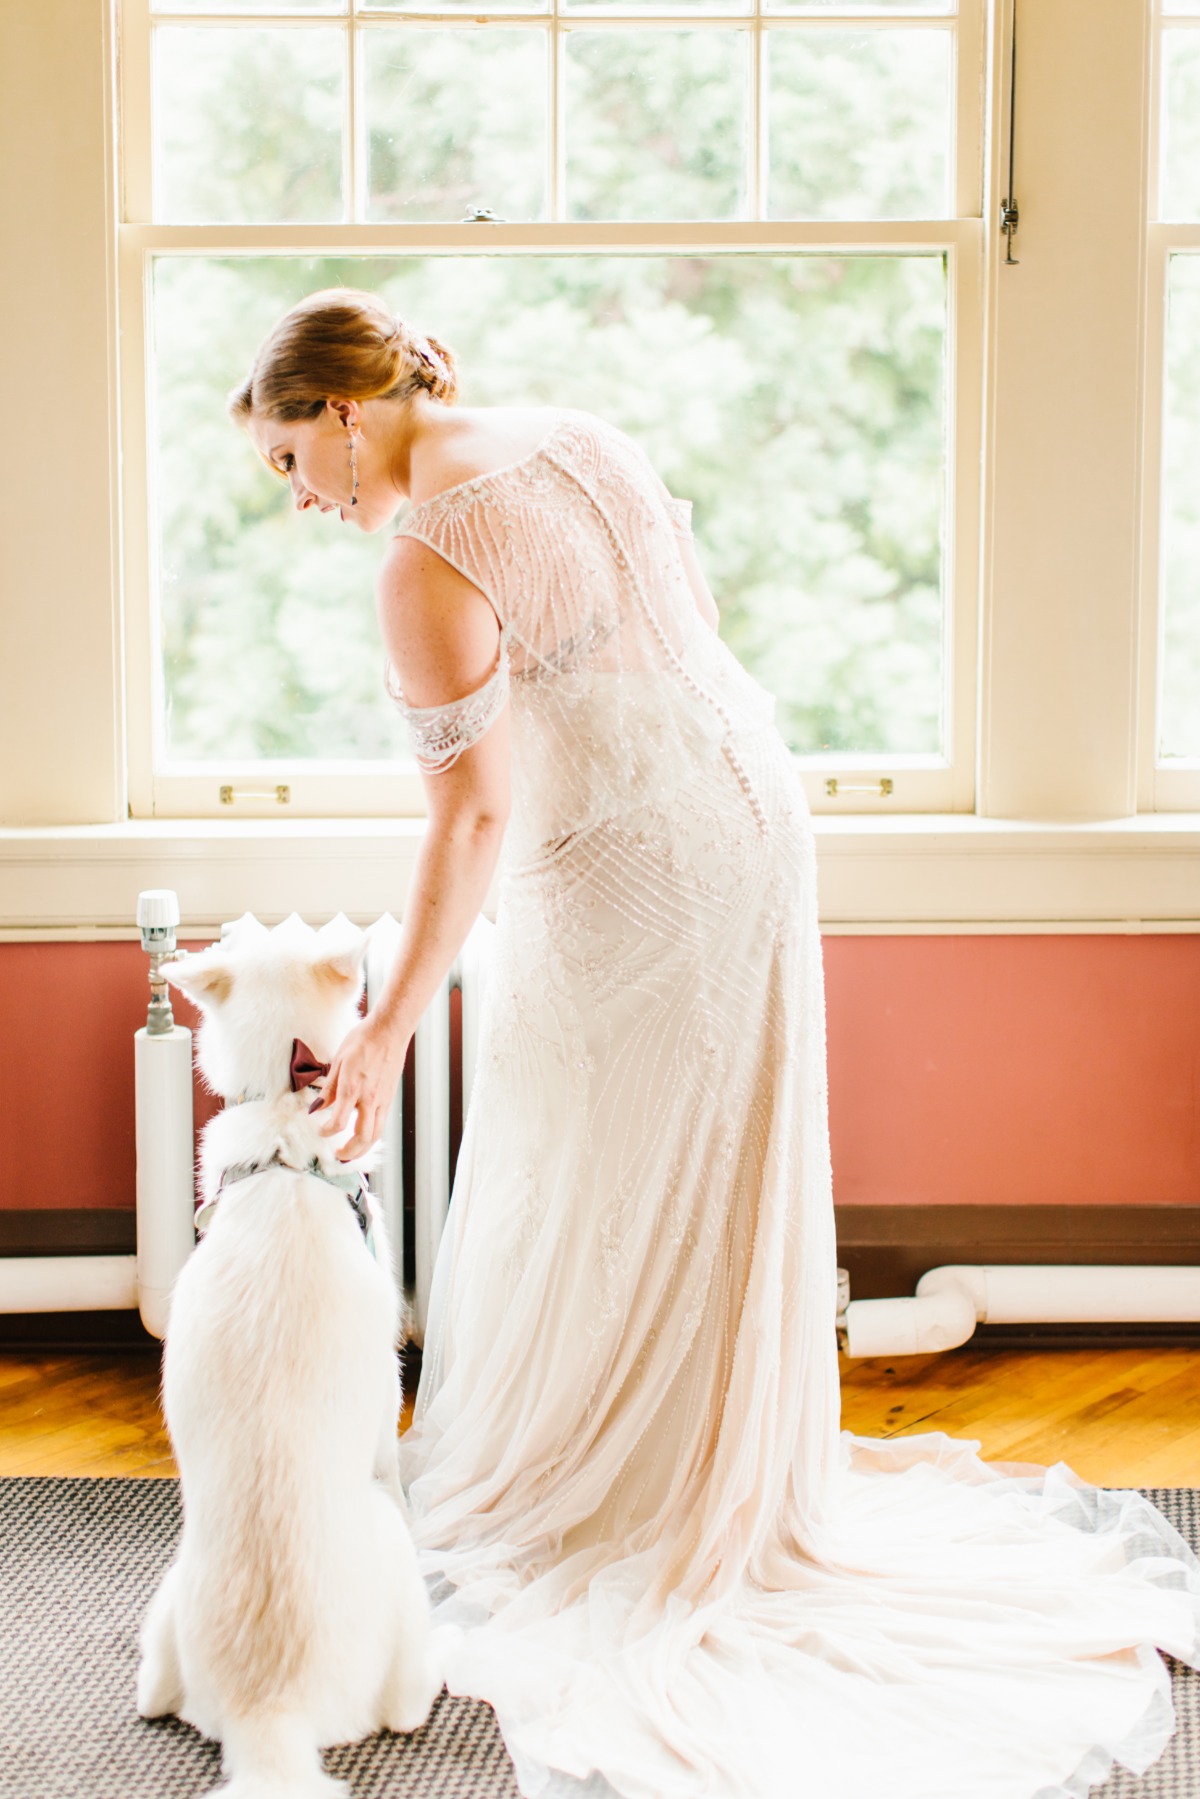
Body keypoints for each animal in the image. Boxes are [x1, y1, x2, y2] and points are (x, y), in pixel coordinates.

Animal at [135, 913, 444, 1799]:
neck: (283, 1124)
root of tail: (267, 1711)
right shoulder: (385, 1387)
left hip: (165, 1600)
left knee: (152, 1691)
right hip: (395, 1580)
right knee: (406, 1703)